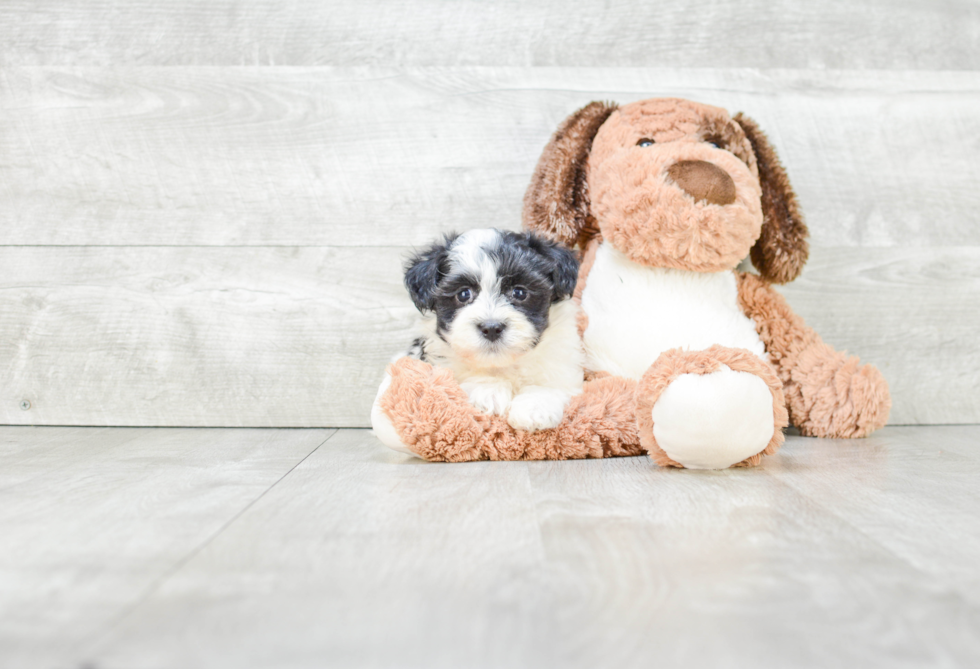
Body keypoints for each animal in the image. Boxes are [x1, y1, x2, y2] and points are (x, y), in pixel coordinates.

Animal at [400, 227, 580, 430]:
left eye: (519, 292)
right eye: (463, 294)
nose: (492, 328)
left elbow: (552, 381)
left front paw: (535, 407)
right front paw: (488, 391)